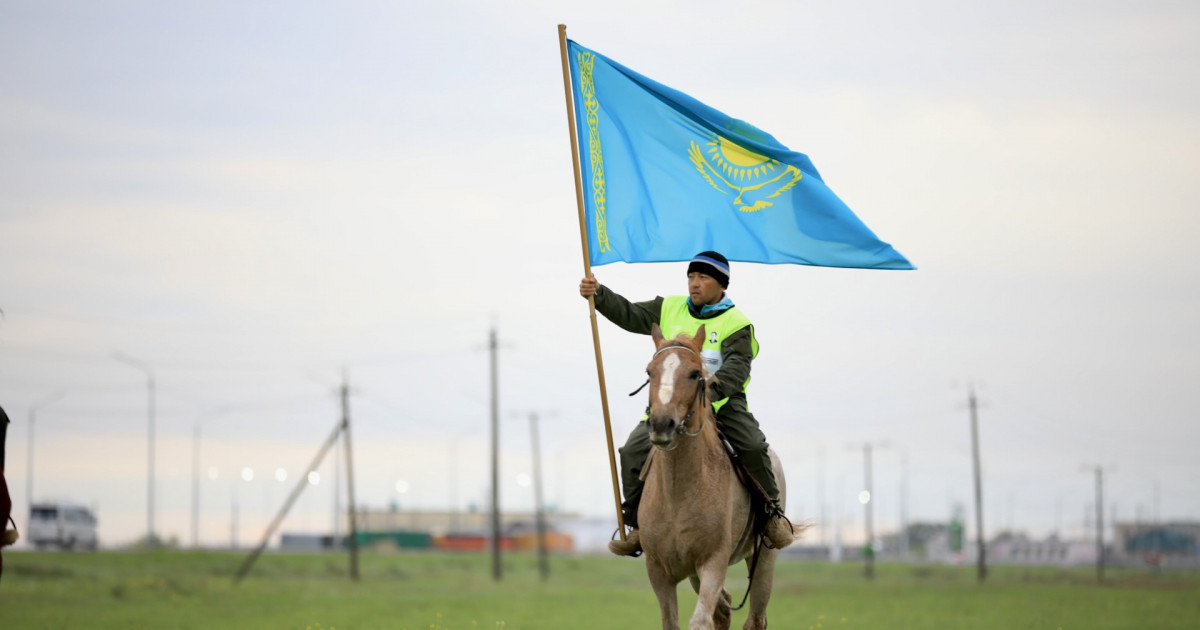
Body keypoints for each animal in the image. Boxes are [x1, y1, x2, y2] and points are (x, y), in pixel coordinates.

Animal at [633, 324, 792, 628]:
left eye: (695, 374)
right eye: (649, 372)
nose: (661, 424)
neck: (677, 492)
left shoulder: (713, 562)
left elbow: (700, 621)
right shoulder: (658, 570)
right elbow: (673, 621)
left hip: (764, 560)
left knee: (754, 618)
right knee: (724, 609)